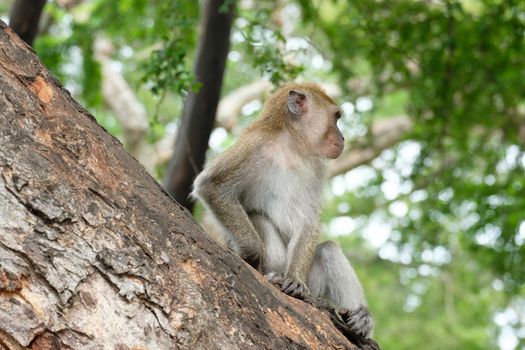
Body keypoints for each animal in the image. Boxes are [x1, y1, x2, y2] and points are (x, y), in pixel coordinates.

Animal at [192, 82, 372, 340]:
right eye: (336, 117)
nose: (342, 137)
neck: (291, 145)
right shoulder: (254, 144)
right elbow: (212, 186)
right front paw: (247, 253)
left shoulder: (315, 168)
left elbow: (308, 222)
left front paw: (294, 280)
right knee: (258, 217)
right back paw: (273, 273)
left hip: (313, 286)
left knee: (329, 250)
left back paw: (360, 319)